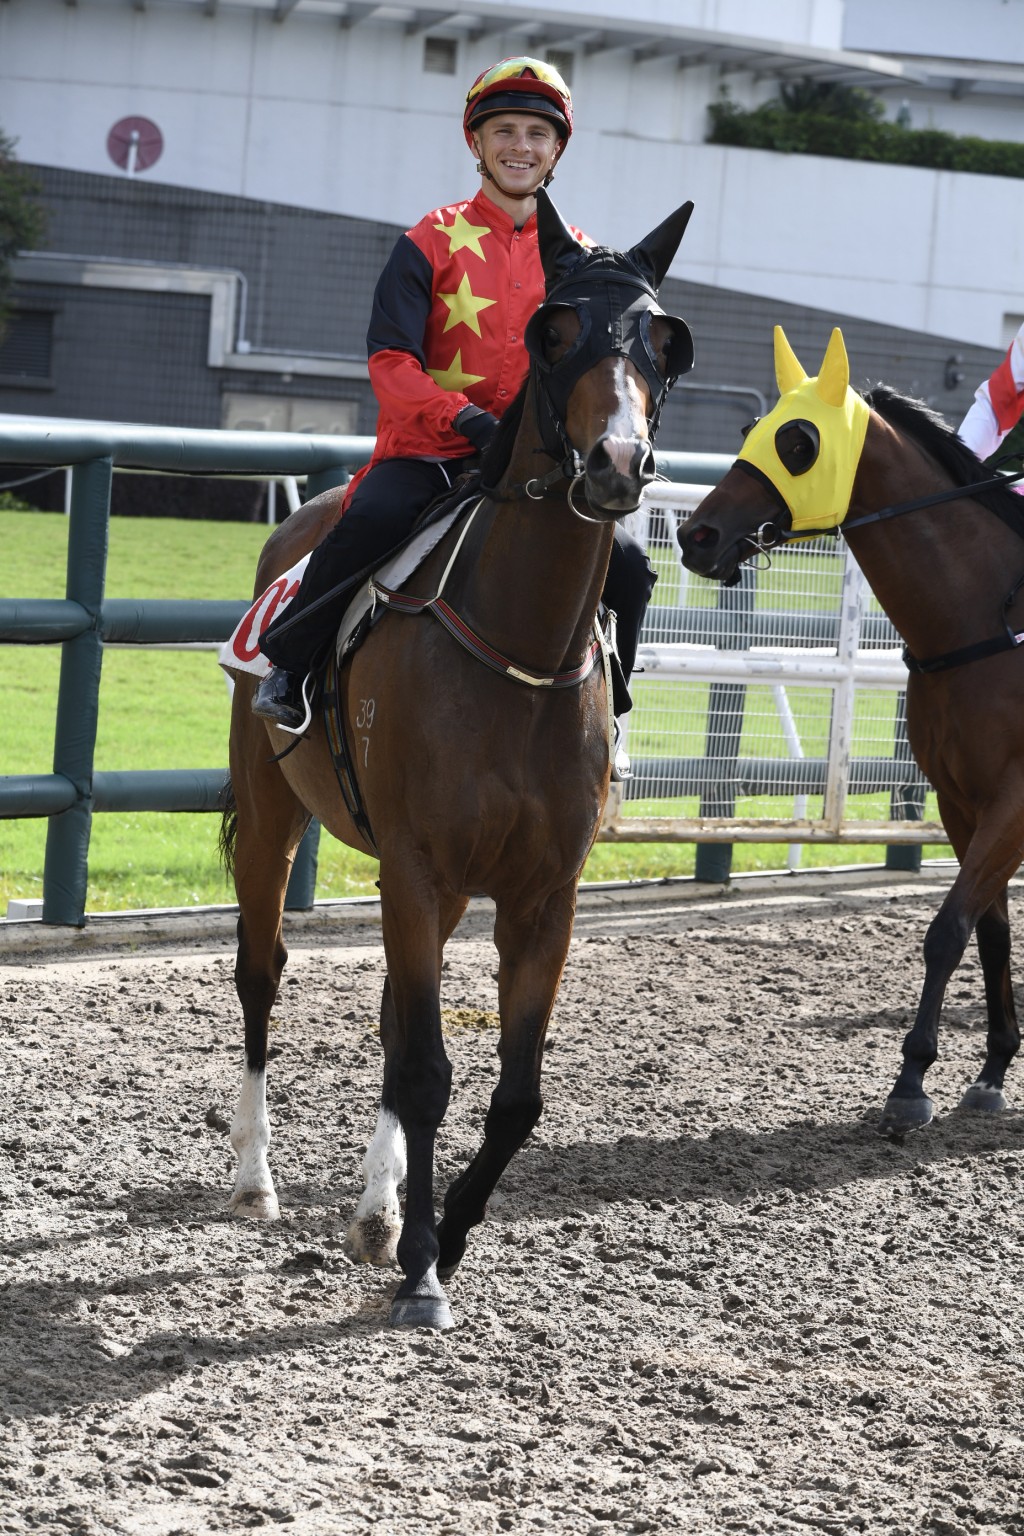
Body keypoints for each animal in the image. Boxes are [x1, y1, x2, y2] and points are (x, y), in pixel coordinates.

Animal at [219, 188, 693, 1320]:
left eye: (664, 341)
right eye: (554, 332)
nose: (617, 465)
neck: (519, 645)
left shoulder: (542, 894)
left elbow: (510, 1093)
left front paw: (442, 1235)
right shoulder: (421, 867)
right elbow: (431, 1072)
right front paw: (426, 1268)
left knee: (396, 1028)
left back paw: (376, 1212)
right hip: (273, 817)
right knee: (262, 973)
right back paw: (257, 1179)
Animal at [681, 327, 1024, 1142]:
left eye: (799, 443)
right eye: (755, 427)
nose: (695, 533)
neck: (991, 624)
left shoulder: (1015, 799)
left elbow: (947, 928)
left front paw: (911, 1082)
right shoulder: (962, 801)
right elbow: (988, 929)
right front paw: (992, 1070)